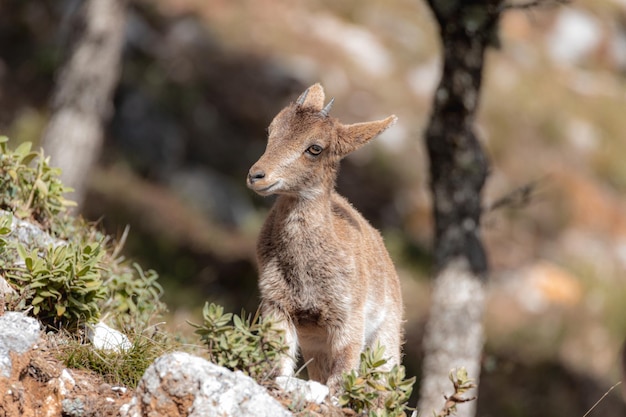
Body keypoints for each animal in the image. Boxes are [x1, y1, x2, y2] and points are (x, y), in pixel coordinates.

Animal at [246, 82, 402, 390]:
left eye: (315, 148)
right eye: (271, 129)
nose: (257, 175)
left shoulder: (348, 318)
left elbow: (340, 380)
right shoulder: (277, 306)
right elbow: (277, 364)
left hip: (386, 340)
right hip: (314, 346)